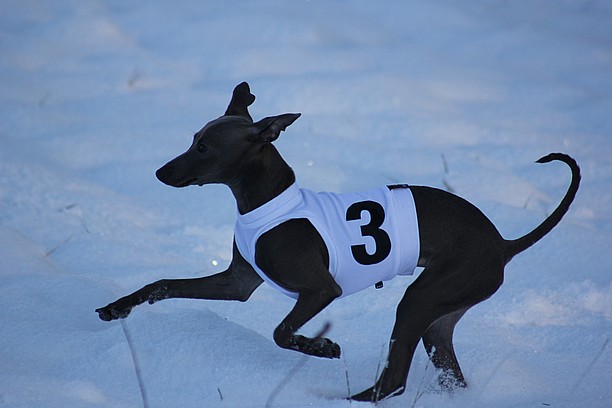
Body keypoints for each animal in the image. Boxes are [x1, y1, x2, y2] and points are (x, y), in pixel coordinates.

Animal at [95, 82, 580, 402]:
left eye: (203, 147)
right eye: (193, 140)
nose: (160, 172)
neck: (267, 202)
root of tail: (502, 243)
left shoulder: (320, 290)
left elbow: (281, 332)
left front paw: (323, 348)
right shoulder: (238, 283)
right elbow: (162, 284)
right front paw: (118, 308)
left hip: (420, 300)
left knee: (394, 381)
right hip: (439, 318)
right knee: (441, 372)